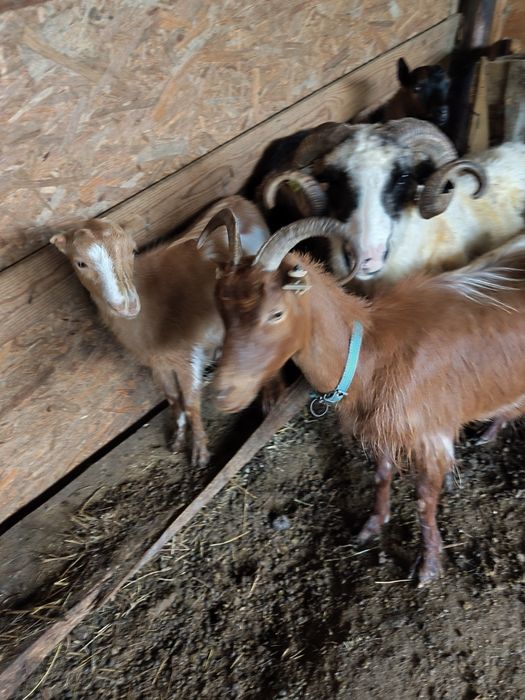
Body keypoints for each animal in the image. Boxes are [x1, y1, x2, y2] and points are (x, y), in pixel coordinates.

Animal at [51, 195, 270, 467]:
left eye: (133, 251)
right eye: (81, 263)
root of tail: (241, 200)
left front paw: (199, 453)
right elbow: (174, 398)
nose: (127, 305)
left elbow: (191, 402)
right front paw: (177, 440)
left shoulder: (188, 355)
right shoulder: (158, 362)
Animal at [200, 212, 525, 584]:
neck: (372, 351)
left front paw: (428, 566)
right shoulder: (380, 429)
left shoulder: (430, 434)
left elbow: (424, 500)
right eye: (220, 307)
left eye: (276, 313)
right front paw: (371, 526)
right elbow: (381, 475)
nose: (222, 393)